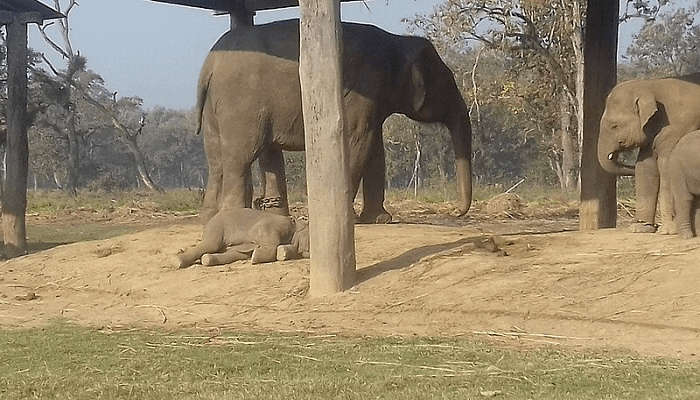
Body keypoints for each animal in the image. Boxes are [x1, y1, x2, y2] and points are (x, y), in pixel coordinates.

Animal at [176, 206, 308, 268]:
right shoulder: (274, 224)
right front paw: (255, 257)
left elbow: (238, 252)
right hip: (217, 225)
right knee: (211, 244)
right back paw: (177, 261)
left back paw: (206, 259)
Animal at [194, 19, 474, 225]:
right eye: (447, 84)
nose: (455, 212)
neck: (397, 40)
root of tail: (209, 63)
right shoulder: (366, 87)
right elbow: (360, 141)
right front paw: (356, 220)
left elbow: (375, 149)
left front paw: (379, 219)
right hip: (241, 104)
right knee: (240, 157)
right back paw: (233, 217)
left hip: (216, 108)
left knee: (218, 161)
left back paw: (211, 218)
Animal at [596, 73, 700, 233]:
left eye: (614, 126)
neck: (649, 86)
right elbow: (645, 167)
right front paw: (640, 227)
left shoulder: (678, 126)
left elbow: (665, 165)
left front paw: (668, 230)